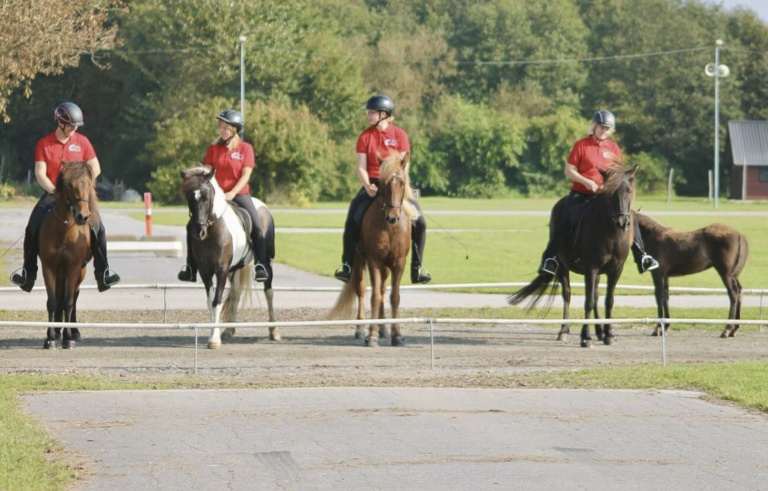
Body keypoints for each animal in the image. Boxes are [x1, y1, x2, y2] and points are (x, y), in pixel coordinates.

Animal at [38, 161, 95, 350]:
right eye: (69, 185)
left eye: (89, 184)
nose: (83, 216)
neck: (64, 231)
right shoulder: (48, 267)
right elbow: (52, 302)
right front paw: (50, 338)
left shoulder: (74, 268)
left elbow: (69, 302)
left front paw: (68, 338)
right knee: (59, 298)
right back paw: (57, 331)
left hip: (79, 273)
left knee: (73, 298)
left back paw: (73, 332)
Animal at [328, 152, 416, 348]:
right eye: (382, 184)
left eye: (402, 182)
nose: (392, 217)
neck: (389, 228)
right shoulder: (374, 261)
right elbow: (374, 296)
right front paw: (371, 336)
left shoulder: (399, 263)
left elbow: (394, 297)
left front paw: (397, 335)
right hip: (360, 259)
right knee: (361, 290)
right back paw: (361, 329)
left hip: (385, 266)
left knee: (382, 289)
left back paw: (383, 328)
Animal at [510, 163, 636, 348]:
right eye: (609, 192)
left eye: (629, 190)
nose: (621, 222)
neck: (610, 232)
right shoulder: (591, 268)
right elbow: (588, 301)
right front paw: (586, 337)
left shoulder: (616, 269)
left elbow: (608, 300)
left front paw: (609, 335)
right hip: (562, 267)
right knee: (567, 295)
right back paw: (564, 331)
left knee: (596, 295)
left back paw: (599, 332)